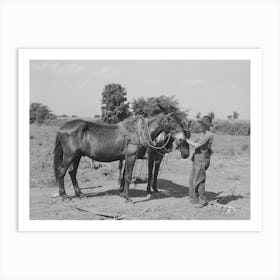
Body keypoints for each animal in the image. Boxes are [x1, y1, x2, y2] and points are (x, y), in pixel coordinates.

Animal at [53, 111, 187, 201]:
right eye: (172, 121)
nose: (181, 138)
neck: (138, 132)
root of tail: (61, 128)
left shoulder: (127, 158)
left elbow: (124, 176)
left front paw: (123, 194)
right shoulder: (132, 157)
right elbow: (128, 176)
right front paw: (127, 198)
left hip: (77, 156)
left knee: (72, 173)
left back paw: (80, 193)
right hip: (69, 156)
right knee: (61, 172)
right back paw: (64, 195)